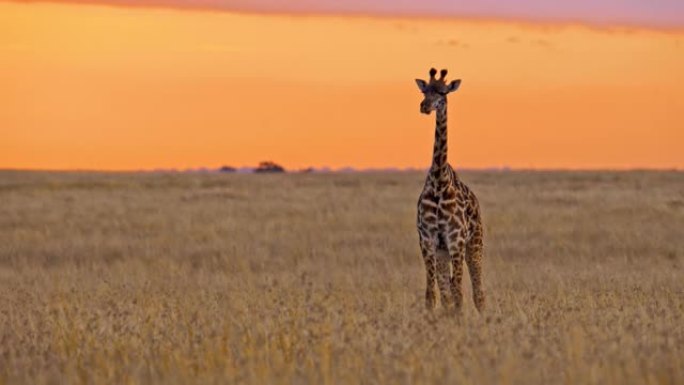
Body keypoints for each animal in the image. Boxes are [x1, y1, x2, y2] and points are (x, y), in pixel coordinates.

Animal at [414, 67, 484, 314]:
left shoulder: (456, 239)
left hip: (474, 243)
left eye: (443, 92)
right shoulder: (428, 239)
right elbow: (433, 295)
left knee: (477, 292)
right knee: (447, 291)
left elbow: (458, 292)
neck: (438, 180)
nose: (425, 106)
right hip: (443, 250)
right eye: (425, 90)